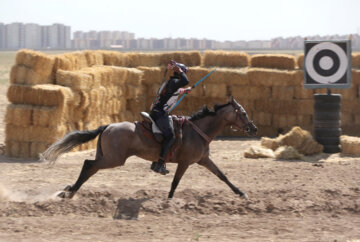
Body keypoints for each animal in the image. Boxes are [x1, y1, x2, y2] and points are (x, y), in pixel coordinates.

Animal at [41, 96, 256, 200]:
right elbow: (175, 182)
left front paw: (241, 193)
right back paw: (69, 192)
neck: (198, 130)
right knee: (88, 165)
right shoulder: (185, 162)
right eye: (244, 113)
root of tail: (108, 126)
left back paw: (69, 191)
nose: (253, 128)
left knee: (89, 168)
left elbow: (222, 176)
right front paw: (169, 201)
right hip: (113, 159)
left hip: (107, 157)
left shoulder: (204, 160)